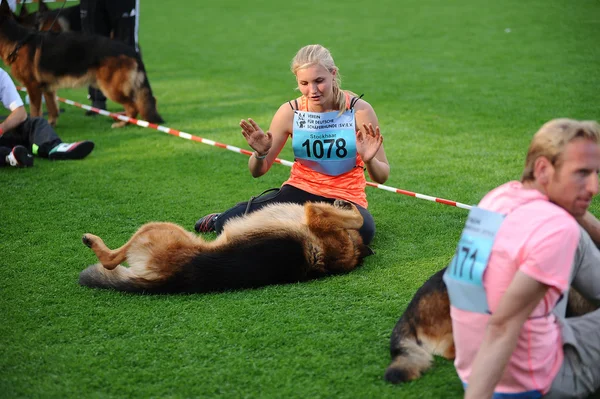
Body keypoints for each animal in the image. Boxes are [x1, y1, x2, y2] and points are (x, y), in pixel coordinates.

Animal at [0, 0, 163, 126]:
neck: (18, 41)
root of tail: (130, 50)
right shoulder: (47, 88)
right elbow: (53, 109)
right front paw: (50, 125)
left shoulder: (33, 87)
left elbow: (35, 112)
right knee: (144, 102)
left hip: (111, 88)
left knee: (134, 106)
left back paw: (123, 123)